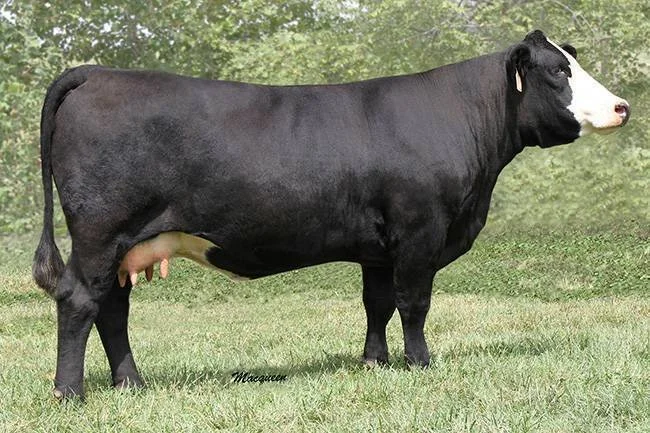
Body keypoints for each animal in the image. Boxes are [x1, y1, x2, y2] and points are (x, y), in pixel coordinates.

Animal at [33, 30, 629, 399]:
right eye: (558, 71)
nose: (622, 107)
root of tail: (98, 73)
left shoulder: (380, 247)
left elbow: (377, 304)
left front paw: (374, 363)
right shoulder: (420, 231)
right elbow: (414, 303)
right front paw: (420, 364)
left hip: (123, 244)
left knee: (113, 309)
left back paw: (130, 385)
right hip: (100, 232)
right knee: (80, 301)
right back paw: (70, 393)